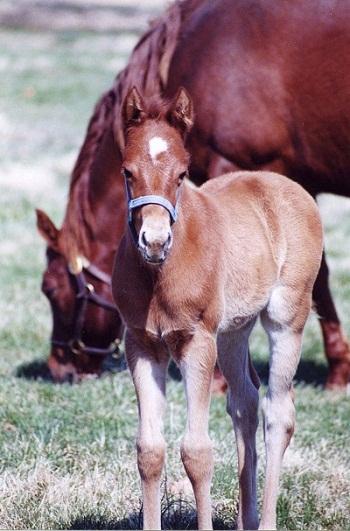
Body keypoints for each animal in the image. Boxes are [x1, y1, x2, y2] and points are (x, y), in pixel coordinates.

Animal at [37, 1, 350, 390]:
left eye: (50, 290)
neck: (188, 48)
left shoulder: (242, 170)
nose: (59, 368)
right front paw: (340, 369)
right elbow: (318, 276)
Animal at [112, 88, 322, 531]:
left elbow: (197, 452)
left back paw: (267, 522)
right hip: (233, 331)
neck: (160, 276)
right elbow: (149, 450)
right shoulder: (141, 345)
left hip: (286, 319)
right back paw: (247, 518)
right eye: (127, 172)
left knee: (278, 413)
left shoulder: (197, 342)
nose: (154, 241)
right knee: (245, 402)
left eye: (181, 174)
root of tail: (284, 185)